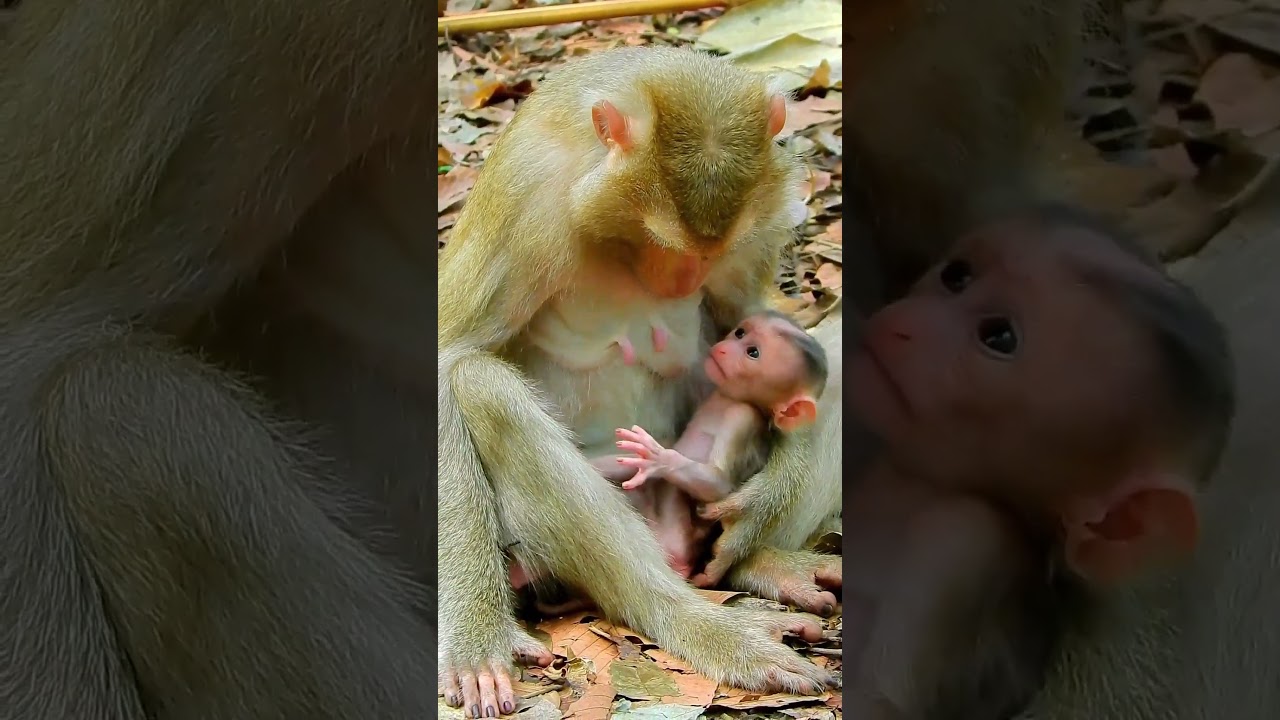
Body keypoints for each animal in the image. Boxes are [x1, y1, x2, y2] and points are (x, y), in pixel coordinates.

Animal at [437, 46, 836, 717]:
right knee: (486, 385)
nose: (683, 280)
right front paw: (477, 636)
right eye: (661, 237)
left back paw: (763, 561)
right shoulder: (527, 192)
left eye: (714, 250)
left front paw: (762, 505)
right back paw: (692, 616)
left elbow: (757, 314)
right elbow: (449, 360)